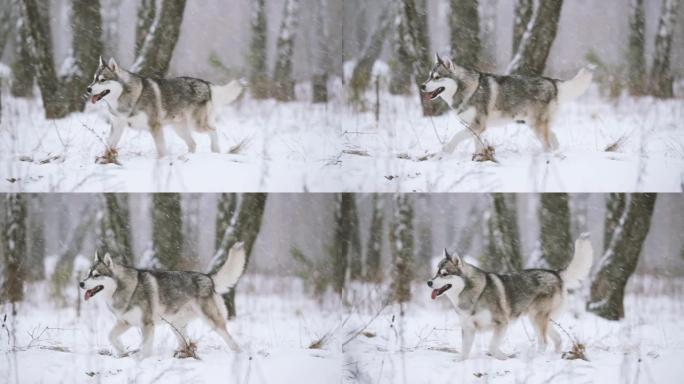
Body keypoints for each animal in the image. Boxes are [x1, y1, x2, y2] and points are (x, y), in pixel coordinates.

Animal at [80, 243, 247, 356]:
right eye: (87, 274)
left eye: (96, 275)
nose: (81, 283)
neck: (125, 289)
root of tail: (208, 277)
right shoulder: (125, 322)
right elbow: (111, 336)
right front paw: (122, 352)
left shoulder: (147, 324)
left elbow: (145, 347)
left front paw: (140, 359)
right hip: (175, 325)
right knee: (184, 343)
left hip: (211, 321)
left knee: (229, 338)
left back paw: (238, 354)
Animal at [87, 57, 243, 159]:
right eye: (94, 79)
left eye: (102, 80)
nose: (88, 89)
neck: (126, 98)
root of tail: (206, 83)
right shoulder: (117, 127)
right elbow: (108, 145)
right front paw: (105, 160)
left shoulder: (155, 126)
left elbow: (161, 149)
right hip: (180, 129)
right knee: (193, 144)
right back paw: (186, 157)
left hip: (195, 125)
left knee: (213, 130)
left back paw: (215, 150)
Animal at [420, 53, 592, 157]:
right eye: (429, 77)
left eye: (437, 77)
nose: (421, 86)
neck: (469, 89)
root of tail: (552, 81)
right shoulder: (476, 128)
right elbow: (477, 145)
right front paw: (479, 160)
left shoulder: (478, 125)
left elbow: (456, 137)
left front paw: (445, 152)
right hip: (534, 124)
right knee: (554, 139)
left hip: (536, 126)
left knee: (548, 143)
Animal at [428, 234, 592, 360]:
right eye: (436, 272)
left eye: (444, 274)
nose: (429, 282)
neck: (472, 293)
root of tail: (555, 273)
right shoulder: (468, 328)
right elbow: (465, 350)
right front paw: (460, 361)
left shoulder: (502, 323)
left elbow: (492, 346)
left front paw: (503, 357)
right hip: (539, 319)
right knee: (557, 339)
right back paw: (555, 356)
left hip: (537, 318)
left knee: (544, 342)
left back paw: (536, 357)